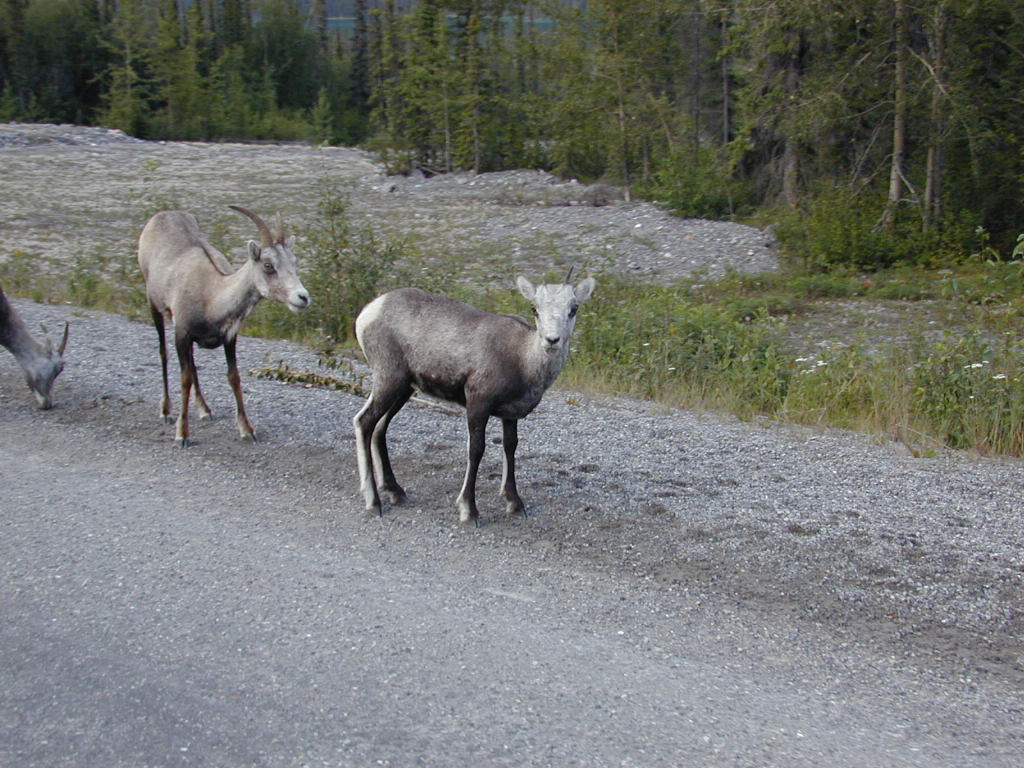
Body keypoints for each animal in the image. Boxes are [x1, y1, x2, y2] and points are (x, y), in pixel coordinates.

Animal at [138, 205, 309, 444]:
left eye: (294, 261)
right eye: (268, 265)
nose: (302, 298)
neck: (211, 293)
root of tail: (161, 216)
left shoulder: (229, 337)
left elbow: (233, 377)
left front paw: (247, 430)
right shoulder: (181, 334)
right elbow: (184, 379)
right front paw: (182, 434)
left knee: (191, 362)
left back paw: (205, 410)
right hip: (153, 304)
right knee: (164, 353)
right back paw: (166, 412)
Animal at [352, 274, 598, 528]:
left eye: (574, 308)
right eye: (535, 308)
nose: (552, 340)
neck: (523, 359)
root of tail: (369, 312)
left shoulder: (509, 415)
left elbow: (510, 446)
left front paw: (515, 504)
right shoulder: (478, 404)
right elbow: (476, 450)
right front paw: (469, 511)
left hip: (403, 390)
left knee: (380, 429)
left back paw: (395, 492)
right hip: (389, 381)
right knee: (364, 422)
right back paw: (373, 502)